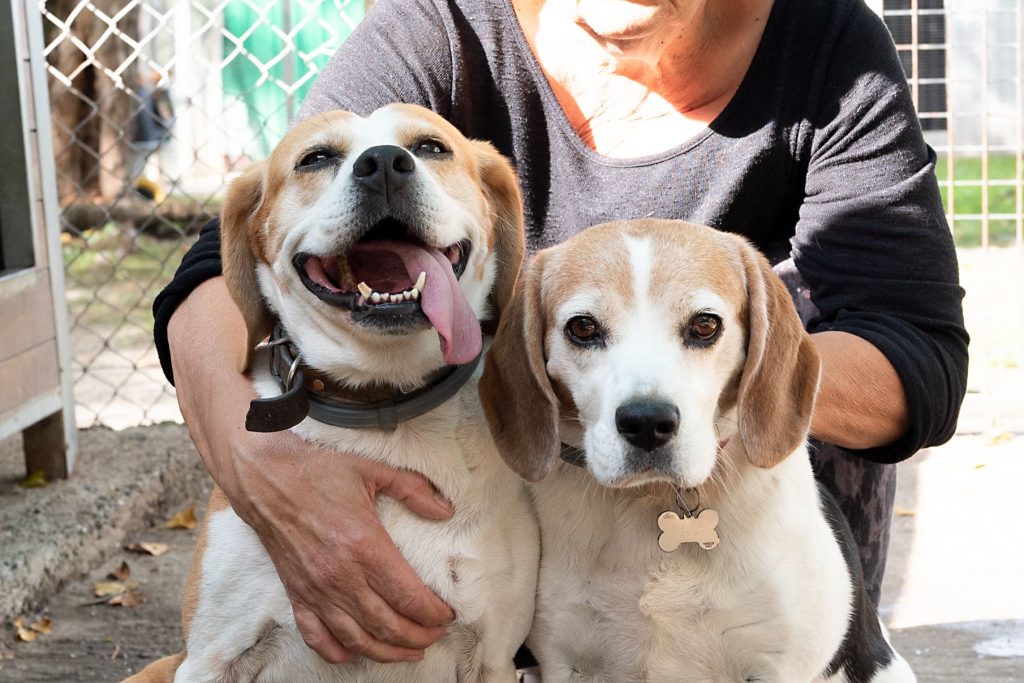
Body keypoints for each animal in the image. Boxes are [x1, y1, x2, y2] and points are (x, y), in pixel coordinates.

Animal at [132, 102, 540, 683]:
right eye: (316, 158)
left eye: (431, 147)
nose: (385, 163)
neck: (384, 404)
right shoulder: (211, 658)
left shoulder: (493, 660)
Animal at [483, 219, 917, 683]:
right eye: (582, 328)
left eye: (705, 325)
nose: (647, 423)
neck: (651, 501)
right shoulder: (567, 662)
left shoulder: (776, 666)